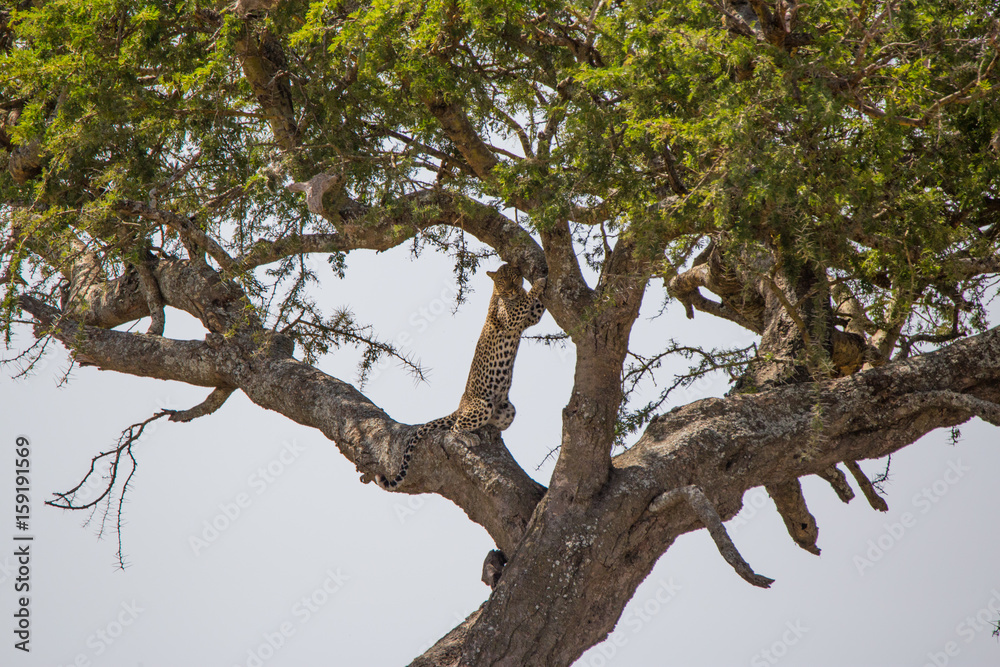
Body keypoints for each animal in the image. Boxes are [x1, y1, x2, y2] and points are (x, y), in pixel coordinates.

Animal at [376, 264, 546, 489]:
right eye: (502, 281)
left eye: (514, 277)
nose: (510, 290)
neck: (499, 294)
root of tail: (460, 406)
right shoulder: (512, 318)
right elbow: (527, 301)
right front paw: (540, 282)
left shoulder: (528, 318)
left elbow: (535, 306)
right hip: (481, 405)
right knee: (454, 427)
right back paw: (468, 437)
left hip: (508, 410)